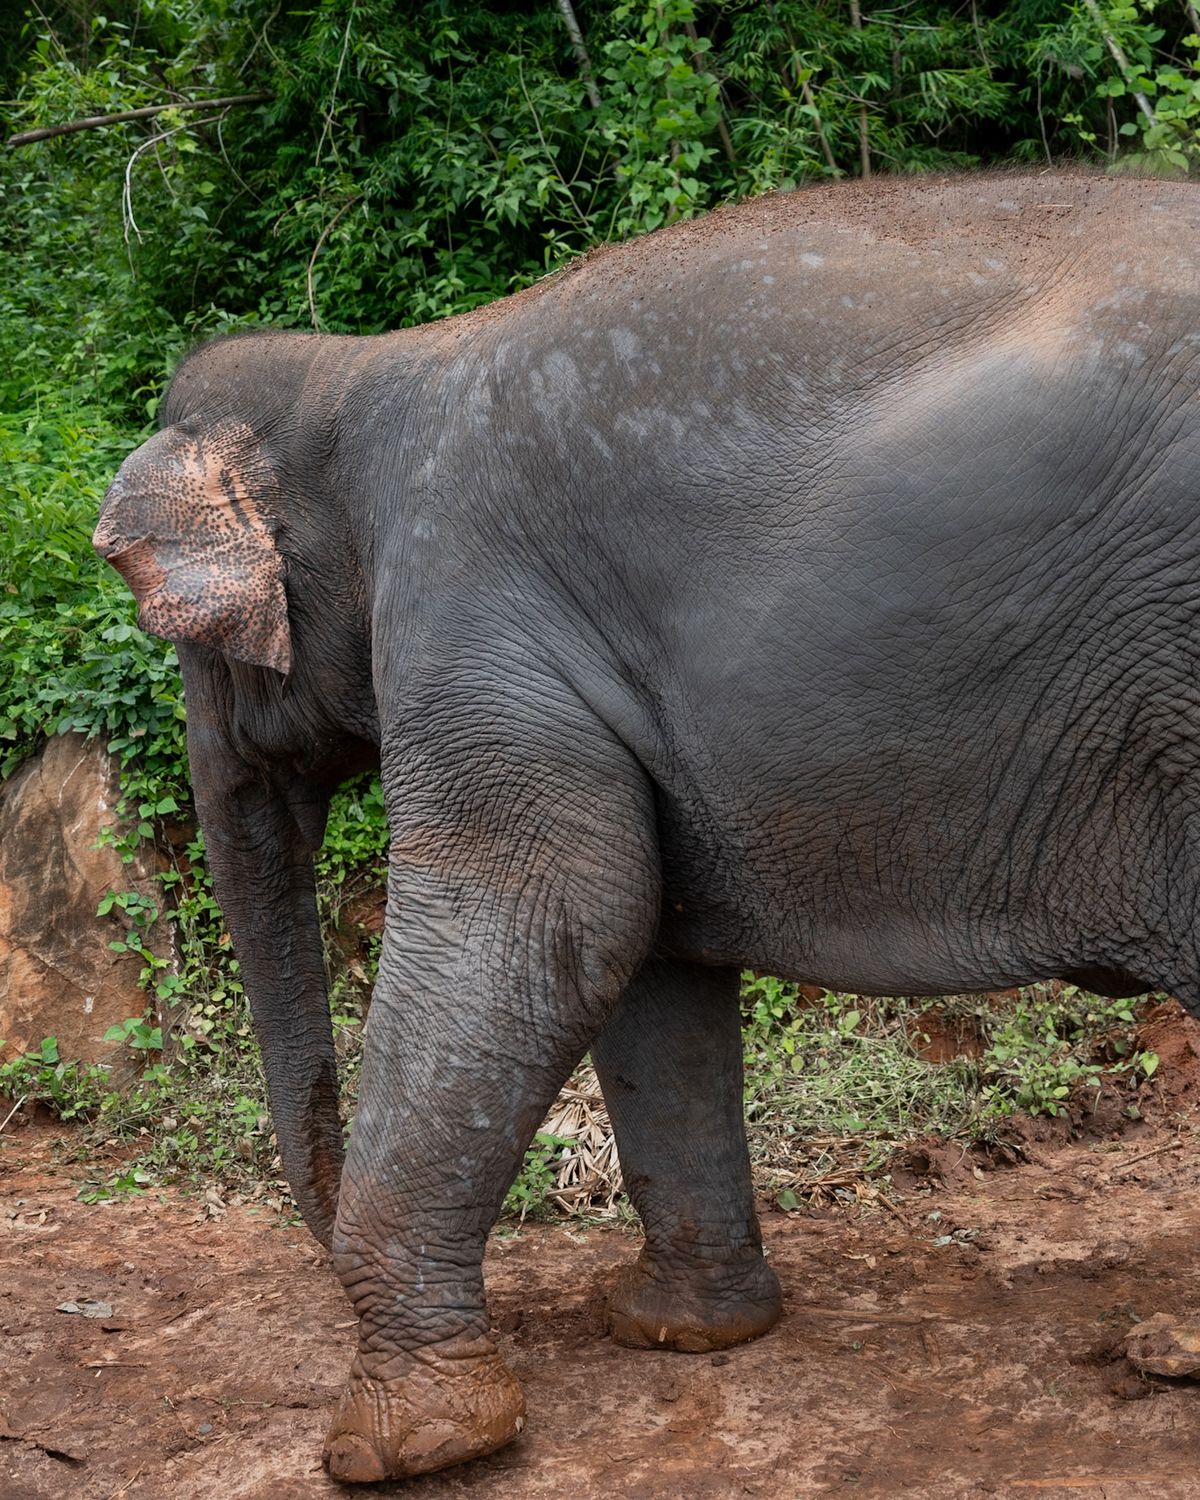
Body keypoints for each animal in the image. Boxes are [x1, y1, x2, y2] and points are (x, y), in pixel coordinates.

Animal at [94, 169, 1200, 1483]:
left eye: (193, 646)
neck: (357, 369)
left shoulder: (470, 603)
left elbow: (547, 917)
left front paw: (402, 1448)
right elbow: (648, 961)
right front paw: (677, 1332)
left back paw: (1175, 1354)